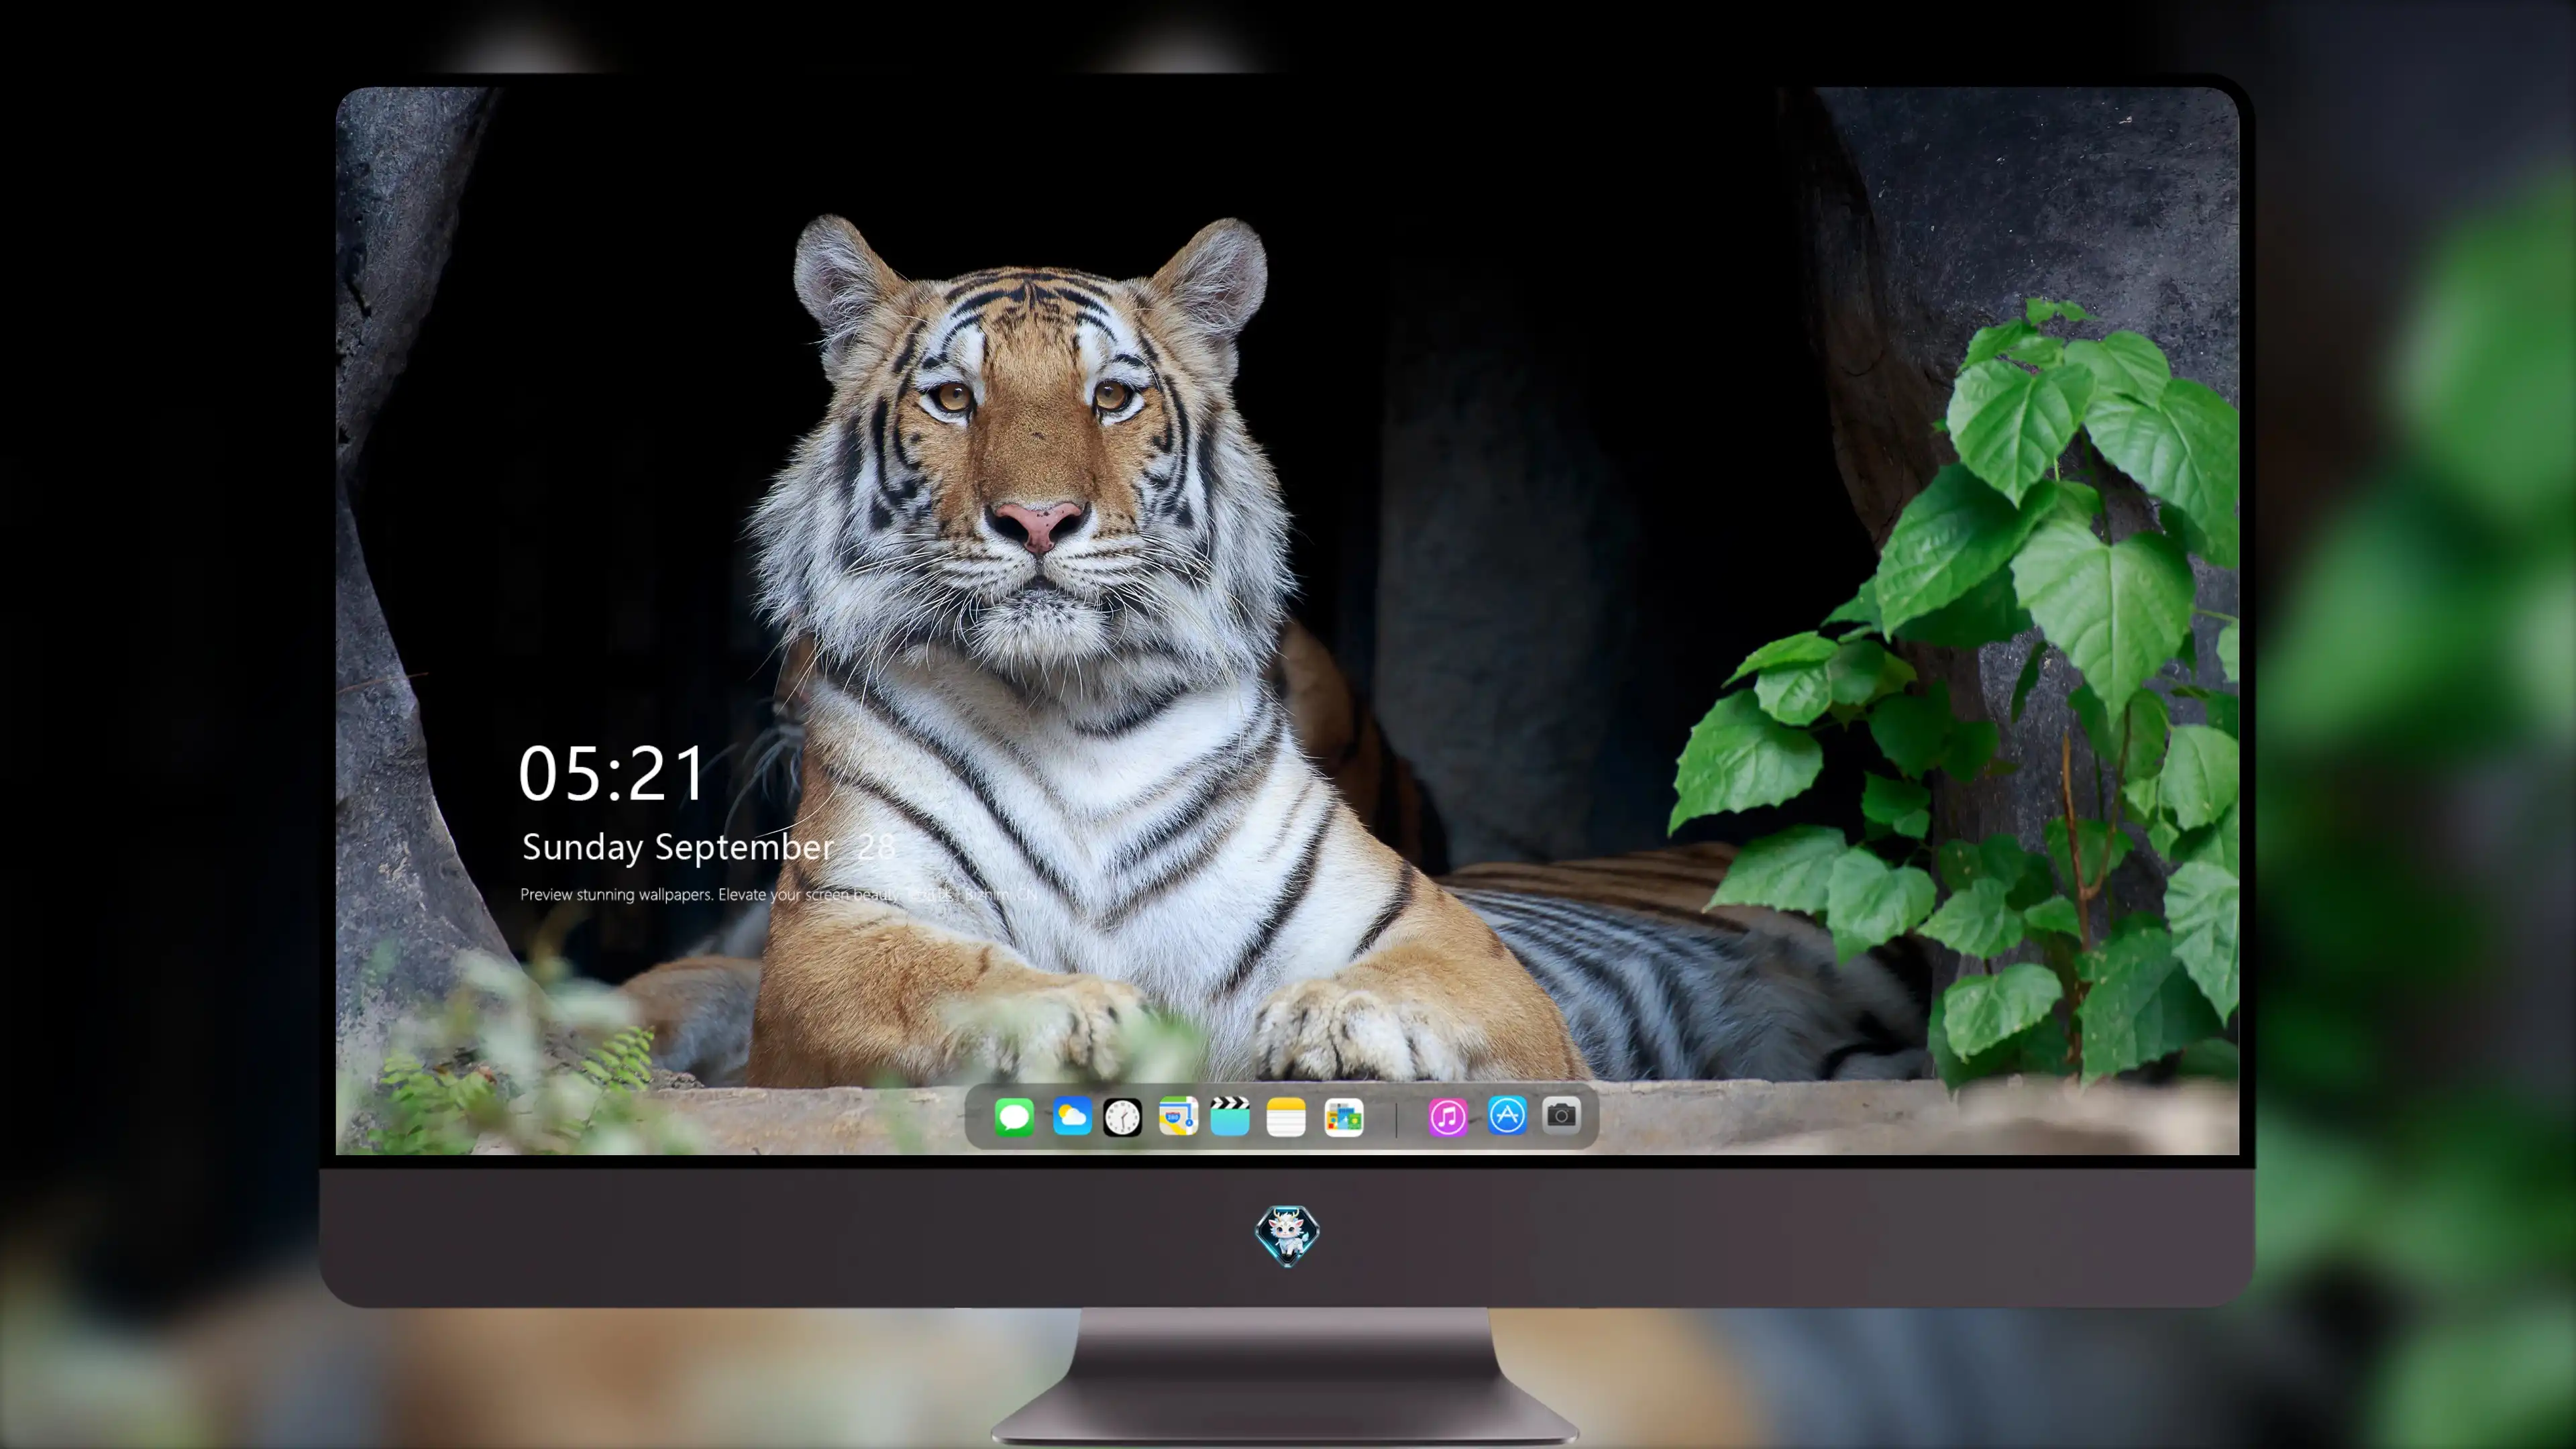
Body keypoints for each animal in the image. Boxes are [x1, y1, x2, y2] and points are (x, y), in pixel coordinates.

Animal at [735, 215, 1584, 1085]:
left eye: (1111, 397)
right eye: (953, 399)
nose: (1038, 520)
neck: (1072, 704)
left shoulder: (1438, 931)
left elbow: (1428, 976)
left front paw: (1337, 1015)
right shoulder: (831, 922)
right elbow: (941, 974)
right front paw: (1079, 1011)